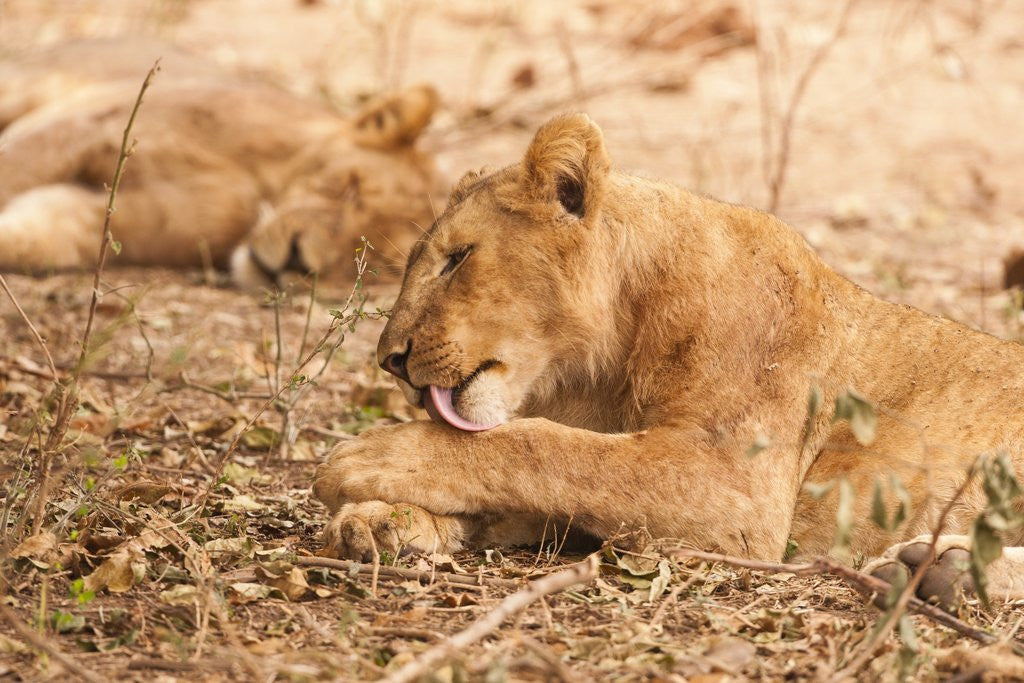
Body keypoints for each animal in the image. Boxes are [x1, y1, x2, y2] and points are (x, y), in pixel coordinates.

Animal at [0, 39, 442, 288]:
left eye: (376, 262)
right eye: (348, 186)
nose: (298, 262)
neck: (257, 188)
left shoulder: (102, 219)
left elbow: (33, 238)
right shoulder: (85, 129)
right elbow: (13, 170)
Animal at [313, 113, 1024, 610]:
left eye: (457, 259)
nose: (389, 360)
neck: (597, 365)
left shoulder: (736, 488)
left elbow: (550, 451)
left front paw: (368, 459)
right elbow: (522, 477)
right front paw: (381, 521)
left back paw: (942, 571)